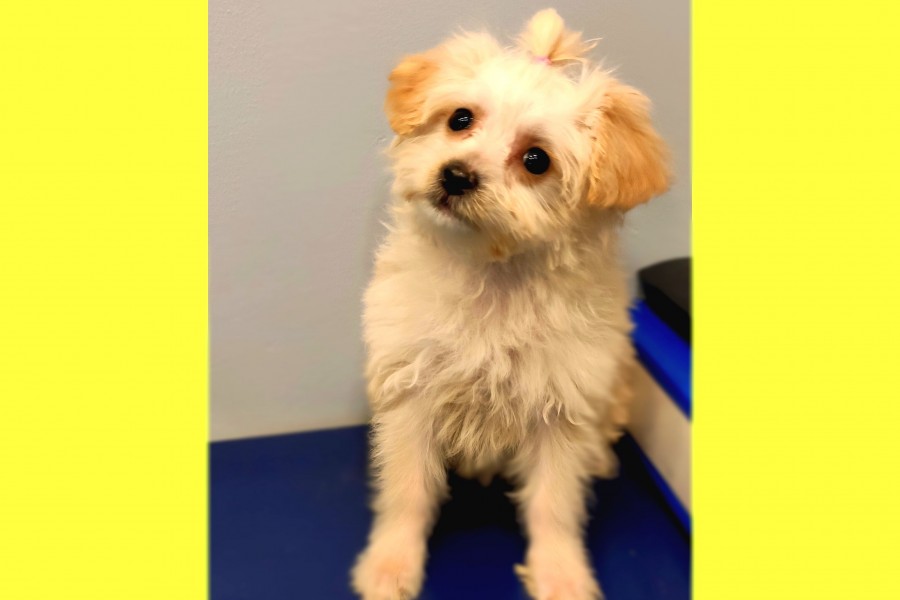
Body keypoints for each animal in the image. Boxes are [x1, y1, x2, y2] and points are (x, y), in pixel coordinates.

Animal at [351, 9, 670, 600]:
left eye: (536, 160)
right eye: (460, 119)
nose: (455, 175)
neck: (493, 276)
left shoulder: (565, 411)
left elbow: (554, 504)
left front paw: (561, 573)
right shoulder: (410, 394)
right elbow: (407, 490)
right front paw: (389, 564)